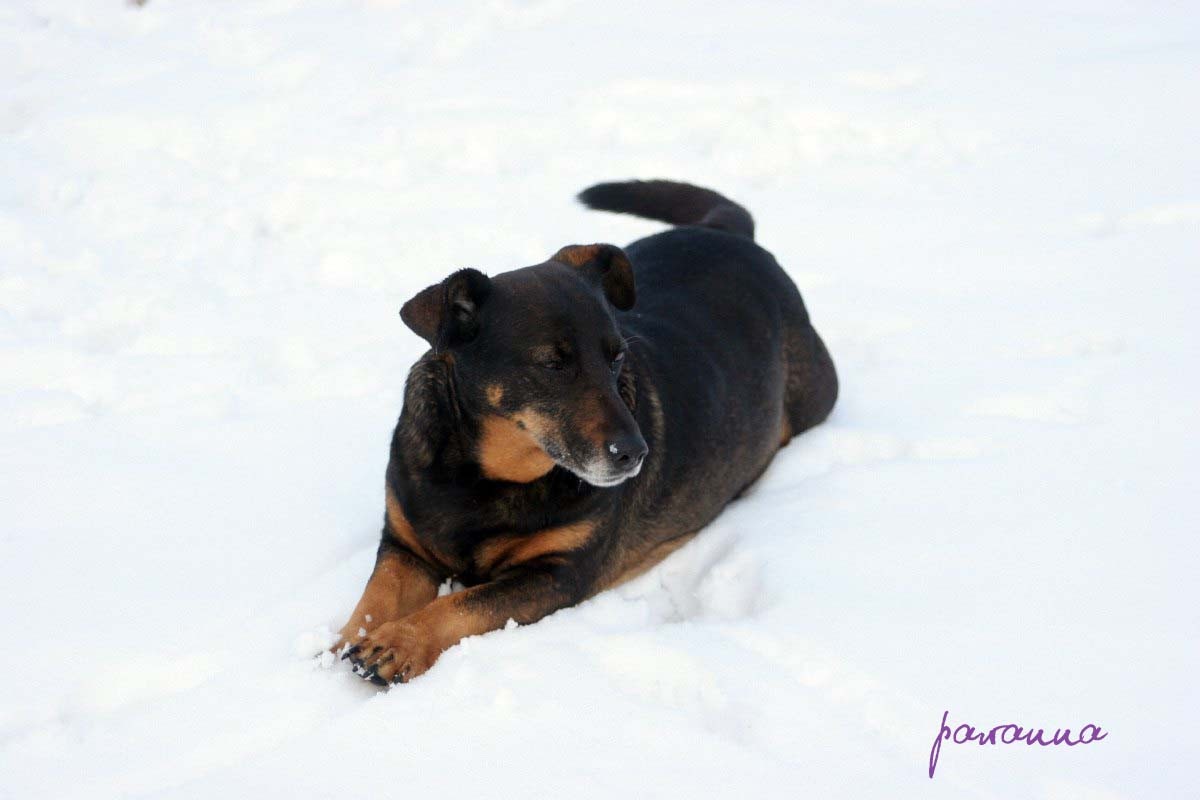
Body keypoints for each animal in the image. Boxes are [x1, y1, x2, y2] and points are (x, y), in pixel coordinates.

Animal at [336, 179, 835, 681]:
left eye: (617, 357)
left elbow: (462, 605)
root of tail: (730, 234)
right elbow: (377, 596)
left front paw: (400, 641)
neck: (482, 477)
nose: (635, 452)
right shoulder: (404, 545)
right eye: (552, 363)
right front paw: (343, 643)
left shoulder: (556, 573)